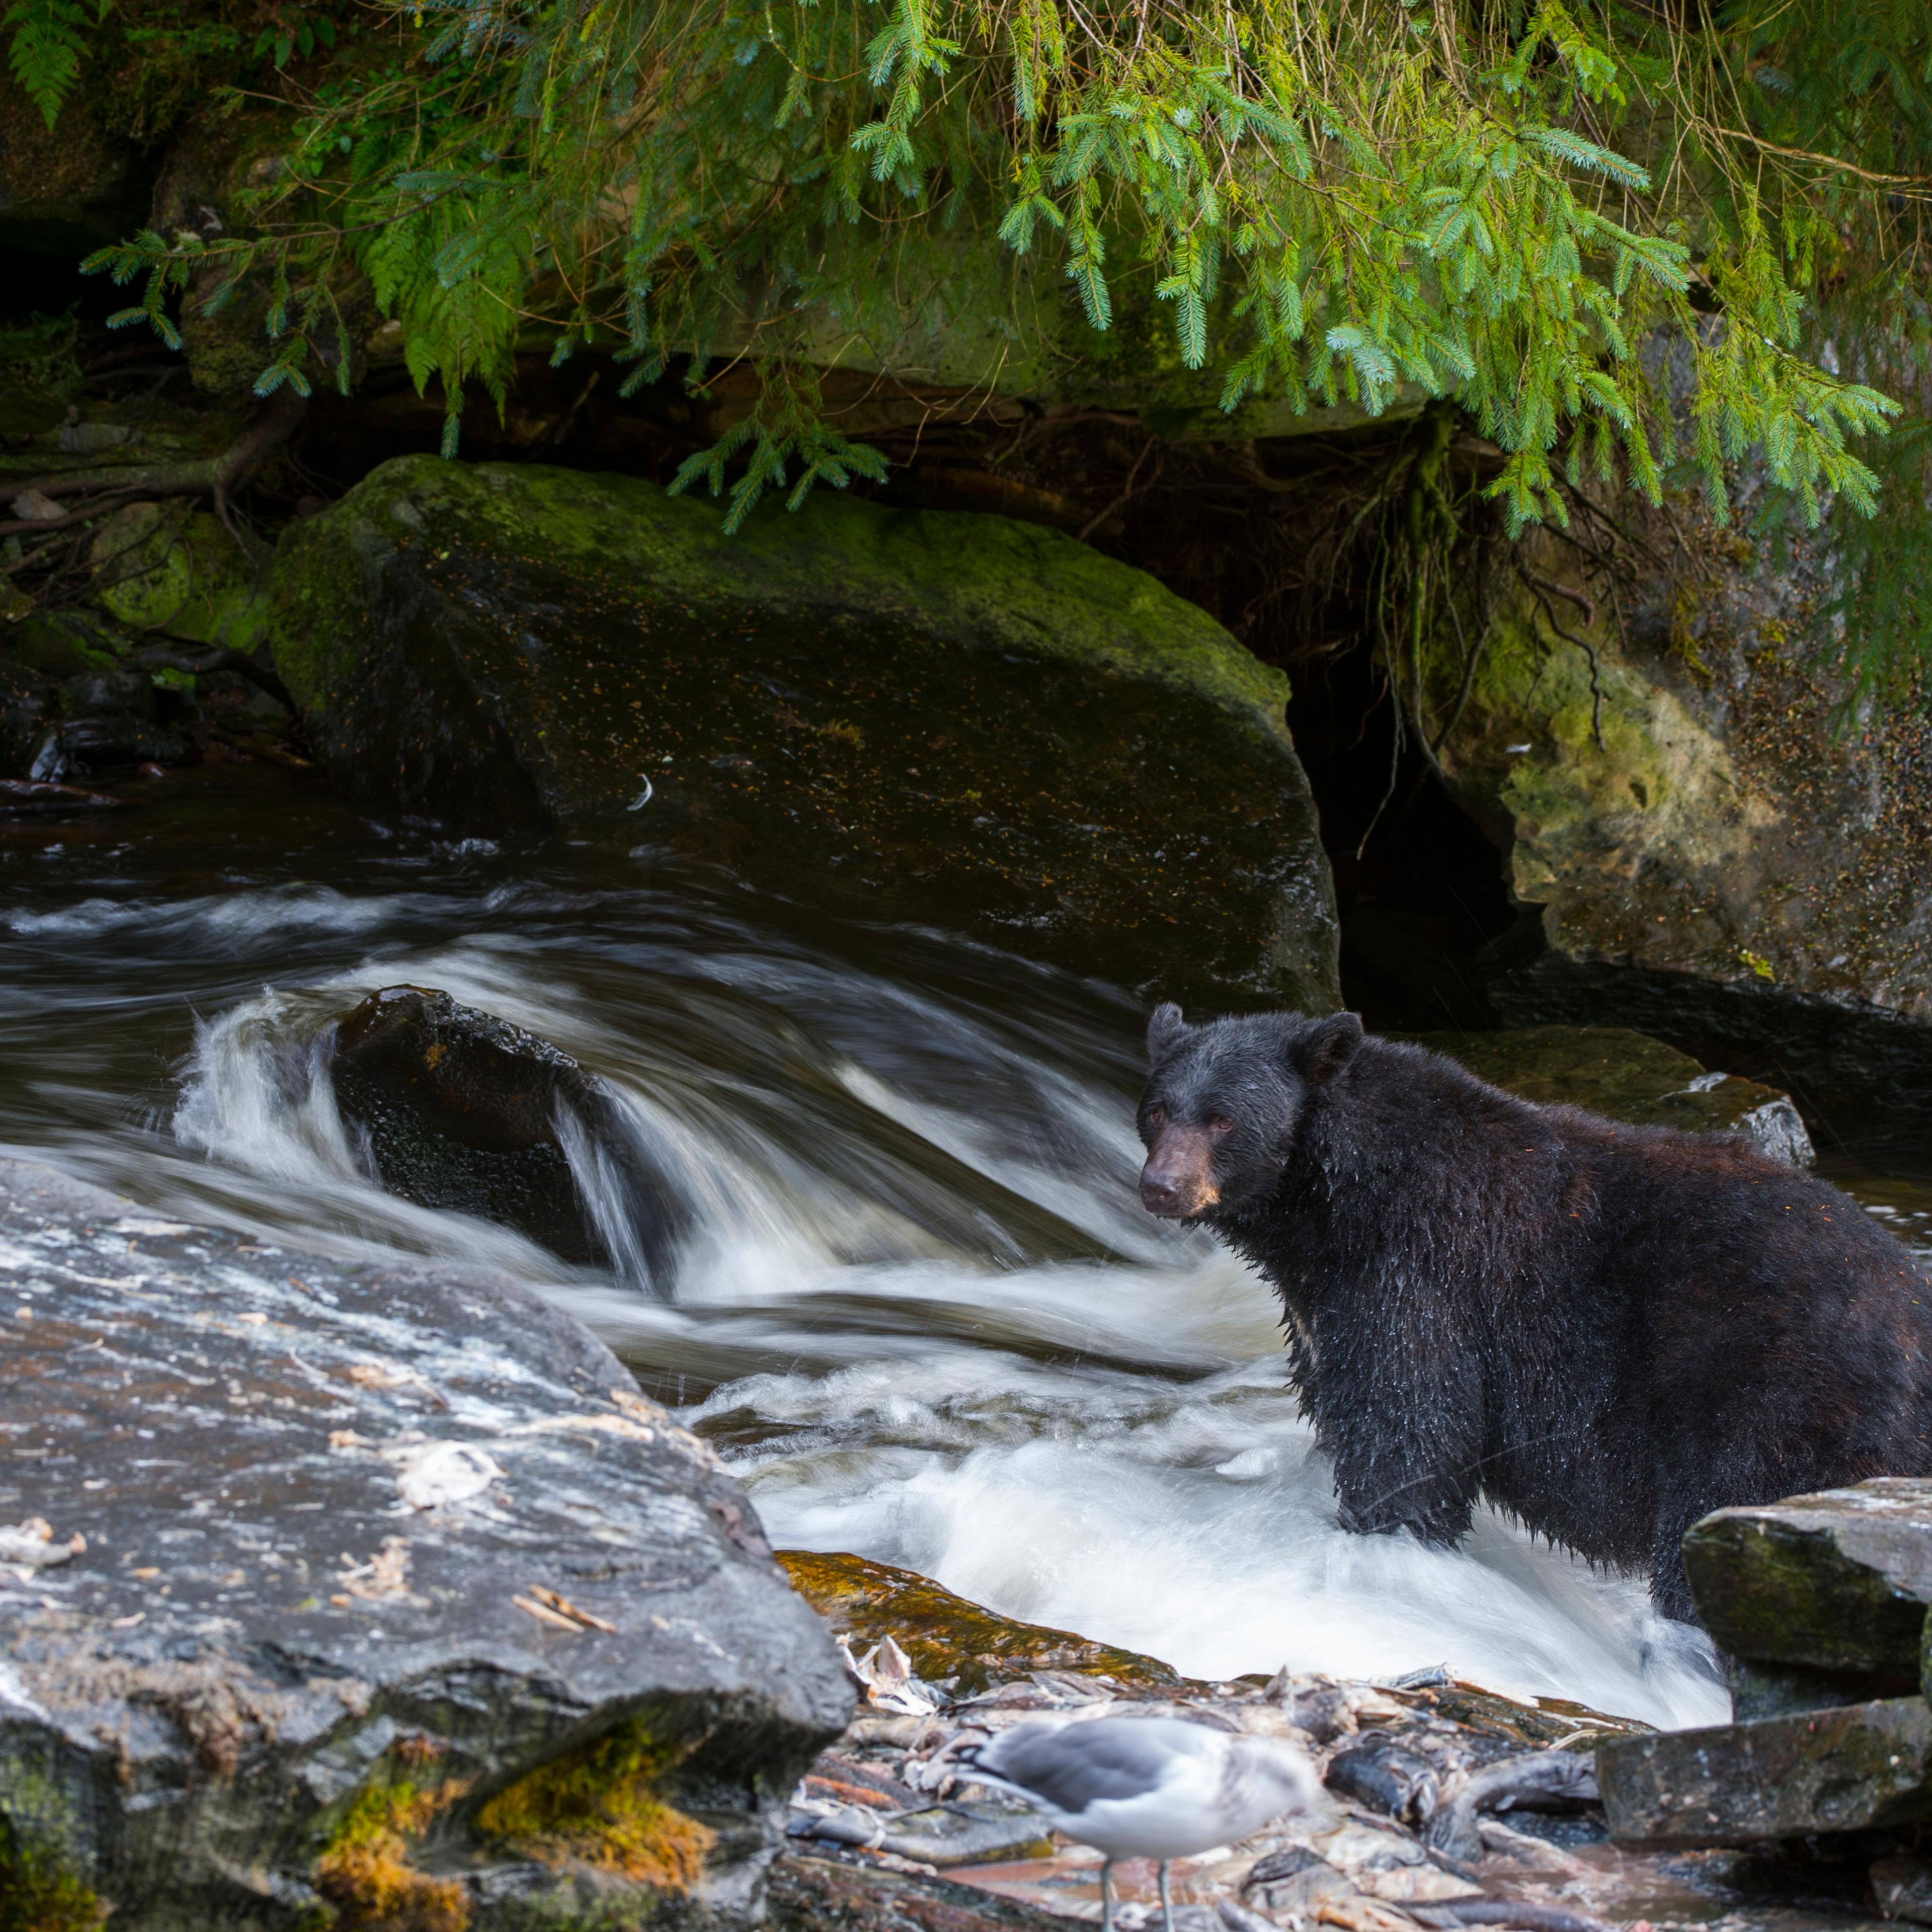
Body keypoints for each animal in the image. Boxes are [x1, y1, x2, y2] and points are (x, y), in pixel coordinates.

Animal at [1135, 1003, 1932, 1624]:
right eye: (1158, 1109)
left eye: (1224, 1119)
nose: (1161, 1187)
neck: (1338, 1203)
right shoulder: (1327, 1308)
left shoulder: (1423, 1274)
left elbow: (1414, 1431)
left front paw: (1383, 1539)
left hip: (1773, 1397)